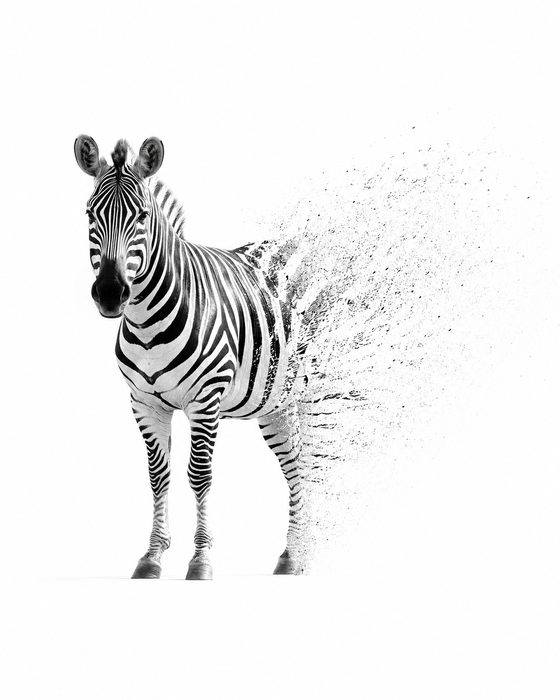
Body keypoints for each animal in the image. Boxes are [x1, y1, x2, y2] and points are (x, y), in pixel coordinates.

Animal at [74, 135, 306, 579]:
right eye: (91, 214)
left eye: (143, 216)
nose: (110, 293)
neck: (147, 322)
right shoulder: (144, 403)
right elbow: (158, 476)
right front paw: (152, 557)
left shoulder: (205, 399)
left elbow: (198, 476)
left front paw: (200, 561)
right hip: (276, 405)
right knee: (296, 466)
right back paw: (291, 556)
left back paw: (304, 552)